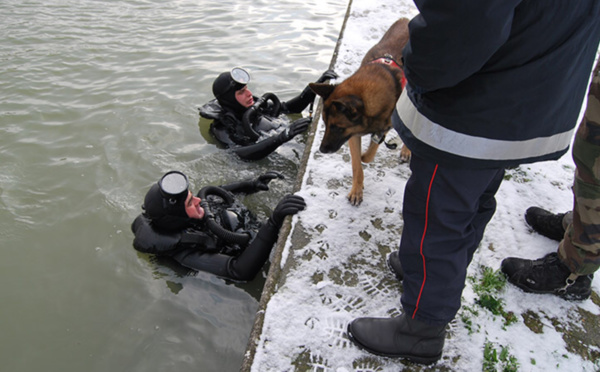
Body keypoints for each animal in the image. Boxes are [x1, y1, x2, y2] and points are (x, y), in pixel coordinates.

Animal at [310, 18, 412, 206]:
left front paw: (367, 154)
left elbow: (368, 155)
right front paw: (357, 190)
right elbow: (357, 164)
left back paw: (406, 150)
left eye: (337, 127)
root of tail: (406, 20)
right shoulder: (353, 135)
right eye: (325, 124)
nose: (321, 149)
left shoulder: (379, 128)